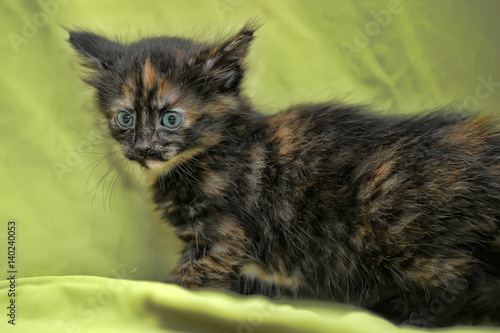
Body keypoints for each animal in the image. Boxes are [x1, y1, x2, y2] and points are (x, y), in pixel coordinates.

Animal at [67, 24, 500, 326]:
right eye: (124, 118)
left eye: (170, 119)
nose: (141, 148)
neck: (212, 153)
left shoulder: (222, 235)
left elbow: (187, 281)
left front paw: (162, 296)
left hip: (388, 226)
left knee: (463, 277)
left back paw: (408, 318)